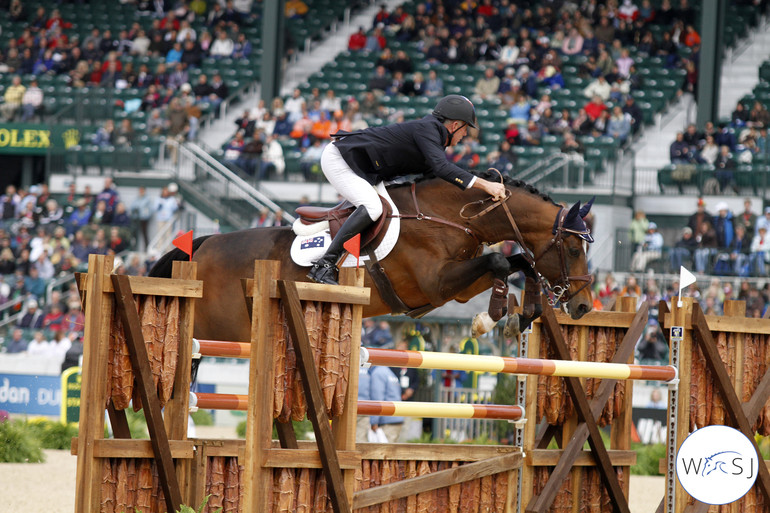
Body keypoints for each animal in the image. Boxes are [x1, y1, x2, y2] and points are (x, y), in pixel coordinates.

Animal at [152, 172, 592, 344]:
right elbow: (503, 262)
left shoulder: (458, 287)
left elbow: (519, 263)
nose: (584, 306)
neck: (451, 214)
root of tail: (204, 245)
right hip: (215, 333)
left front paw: (522, 313)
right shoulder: (437, 283)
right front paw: (493, 317)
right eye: (573, 249)